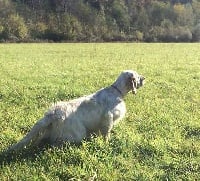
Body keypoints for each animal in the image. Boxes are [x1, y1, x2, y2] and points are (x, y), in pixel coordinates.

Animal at [7, 70, 145, 151]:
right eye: (137, 76)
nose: (145, 78)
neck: (117, 91)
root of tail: (53, 114)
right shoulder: (108, 118)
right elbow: (106, 134)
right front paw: (106, 144)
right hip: (78, 133)